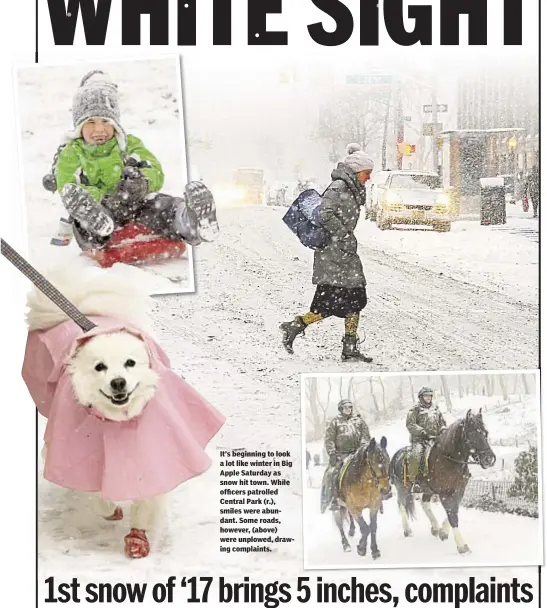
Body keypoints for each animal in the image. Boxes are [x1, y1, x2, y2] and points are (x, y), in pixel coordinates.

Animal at [23, 264, 225, 560]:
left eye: (130, 363)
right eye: (100, 367)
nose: (118, 382)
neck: (119, 420)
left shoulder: (153, 452)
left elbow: (146, 497)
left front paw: (137, 538)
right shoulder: (71, 455)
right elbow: (95, 493)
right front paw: (110, 509)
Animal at [390, 410, 496, 552]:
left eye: (485, 433)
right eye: (472, 434)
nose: (489, 459)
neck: (448, 459)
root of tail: (396, 455)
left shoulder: (459, 490)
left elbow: (454, 510)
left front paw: (443, 532)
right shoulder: (444, 493)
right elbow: (452, 515)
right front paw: (462, 546)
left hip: (427, 489)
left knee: (424, 504)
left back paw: (435, 528)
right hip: (403, 488)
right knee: (401, 504)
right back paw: (407, 530)